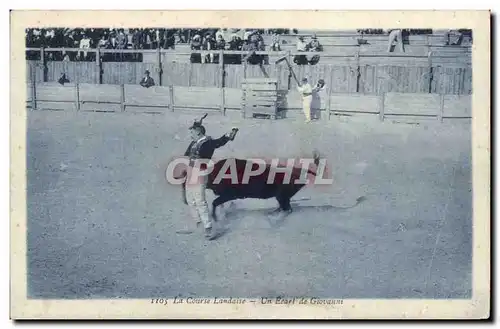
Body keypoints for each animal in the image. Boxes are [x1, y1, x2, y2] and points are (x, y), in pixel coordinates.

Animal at [182, 152, 322, 219]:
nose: (185, 200)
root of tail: (298, 170)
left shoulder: (229, 195)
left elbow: (215, 202)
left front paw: (215, 217)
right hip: (282, 197)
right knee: (285, 207)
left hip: (281, 196)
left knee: (286, 208)